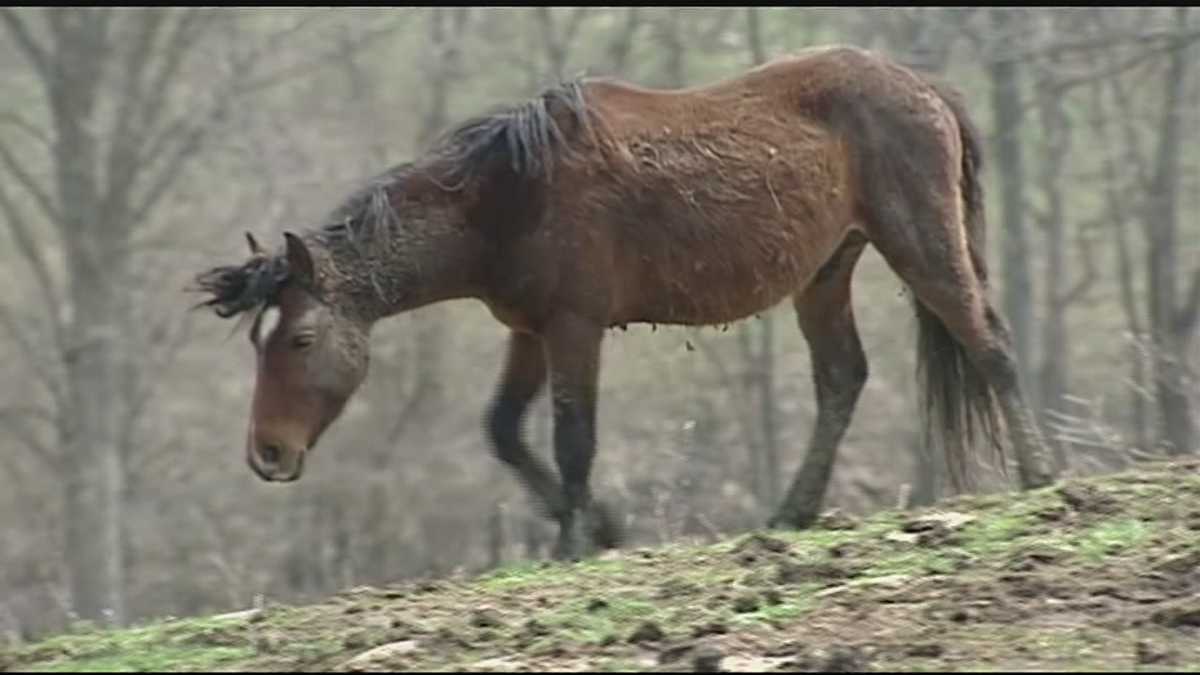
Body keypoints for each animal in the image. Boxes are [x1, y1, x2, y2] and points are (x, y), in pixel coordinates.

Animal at [191, 45, 1057, 561]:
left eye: (300, 339)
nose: (267, 454)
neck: (506, 192)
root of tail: (923, 86)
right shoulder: (529, 331)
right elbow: (505, 430)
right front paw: (602, 527)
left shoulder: (576, 327)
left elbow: (574, 437)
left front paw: (574, 544)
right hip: (827, 272)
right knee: (843, 377)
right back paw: (791, 512)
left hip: (921, 244)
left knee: (990, 343)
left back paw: (1042, 477)